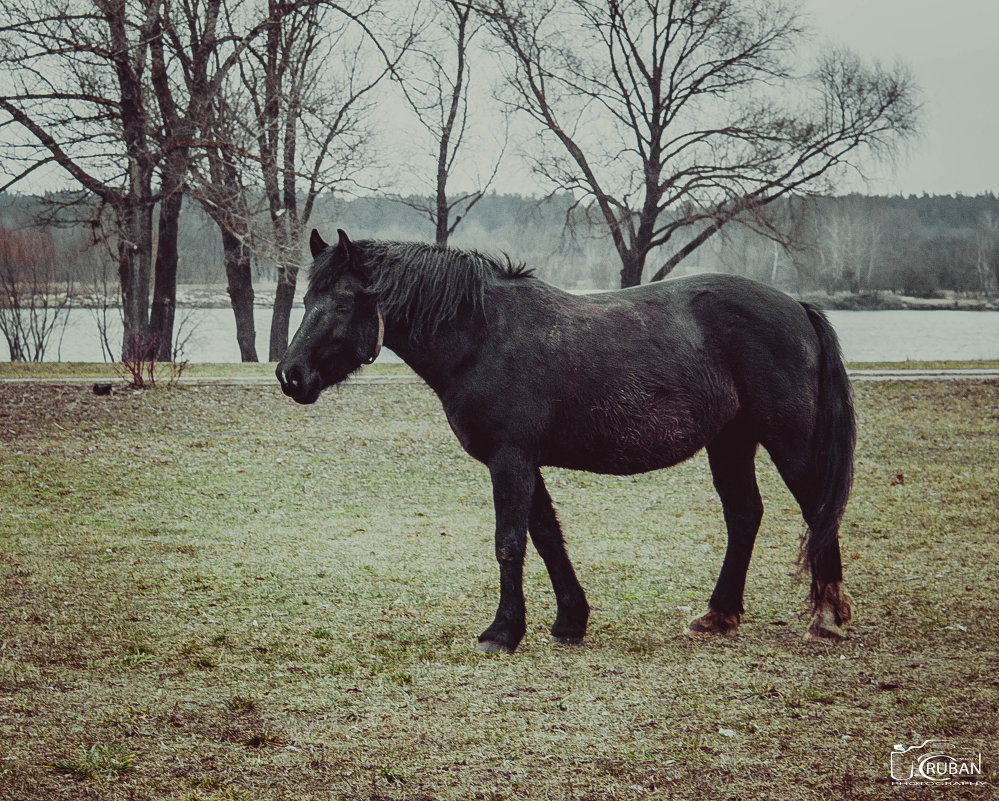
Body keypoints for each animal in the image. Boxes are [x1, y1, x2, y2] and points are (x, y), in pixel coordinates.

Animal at [278, 230, 856, 648]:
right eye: (307, 298)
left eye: (345, 301)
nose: (290, 375)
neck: (484, 335)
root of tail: (797, 306)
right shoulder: (523, 462)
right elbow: (547, 536)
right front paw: (570, 621)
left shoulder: (509, 460)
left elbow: (511, 543)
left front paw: (502, 632)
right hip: (731, 441)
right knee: (744, 516)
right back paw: (719, 615)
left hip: (790, 443)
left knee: (817, 511)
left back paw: (826, 617)